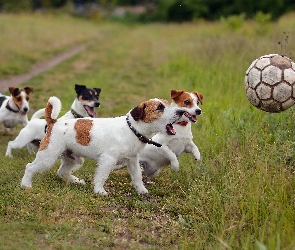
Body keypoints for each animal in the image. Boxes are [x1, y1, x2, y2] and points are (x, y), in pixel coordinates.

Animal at [20, 95, 184, 195]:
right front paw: (99, 191)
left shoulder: (132, 161)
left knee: (62, 171)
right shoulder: (107, 160)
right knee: (29, 167)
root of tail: (54, 122)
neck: (131, 129)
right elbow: (102, 176)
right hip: (48, 156)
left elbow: (137, 176)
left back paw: (76, 181)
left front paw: (141, 190)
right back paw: (26, 185)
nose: (181, 111)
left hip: (74, 158)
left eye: (168, 104)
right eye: (160, 107)